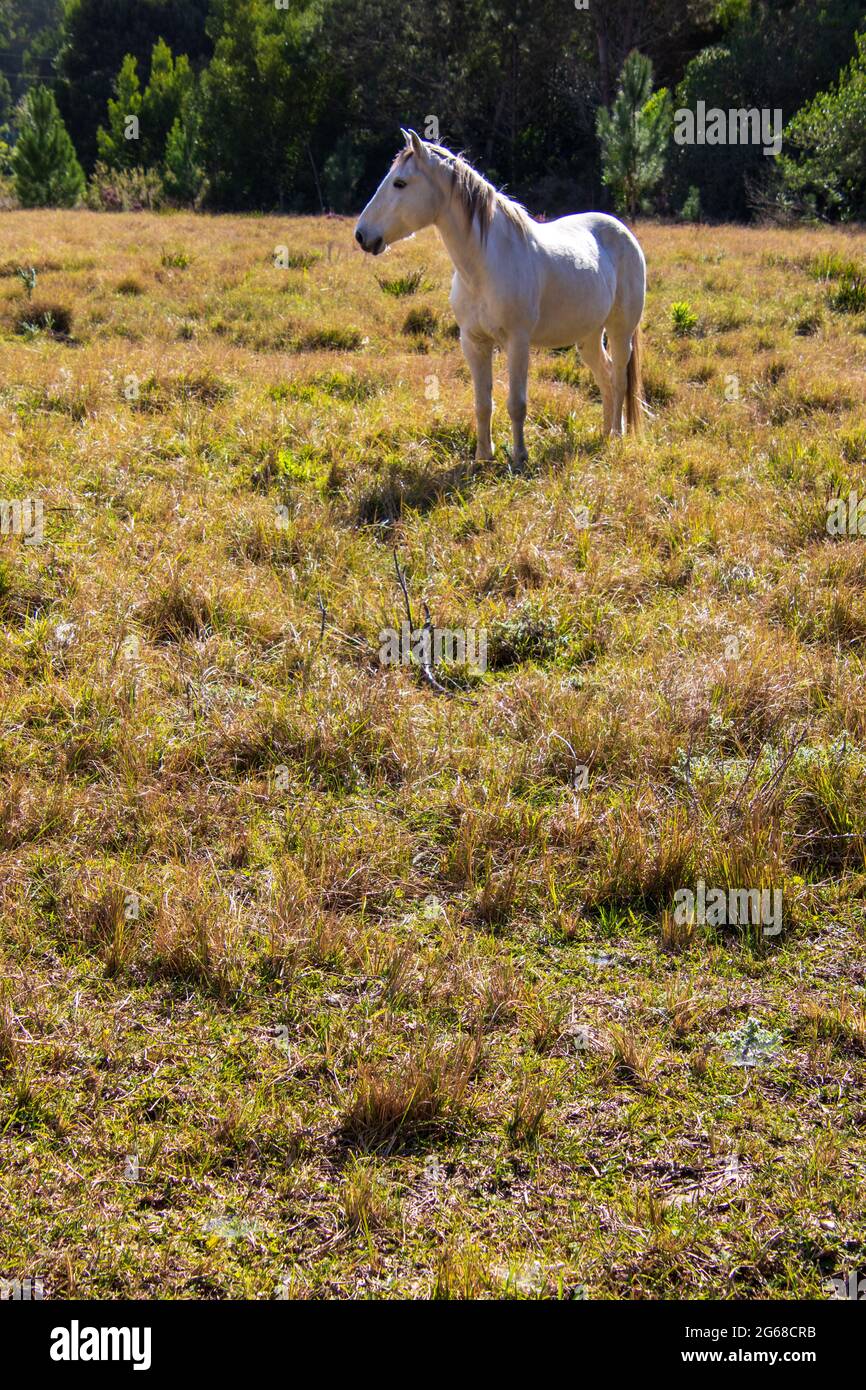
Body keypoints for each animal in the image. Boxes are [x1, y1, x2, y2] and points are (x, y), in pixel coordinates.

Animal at [354, 129, 647, 464]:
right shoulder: (474, 342)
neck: (484, 266)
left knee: (619, 378)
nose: (362, 235)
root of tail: (623, 231)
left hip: (620, 330)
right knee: (606, 376)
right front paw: (483, 456)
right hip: (588, 336)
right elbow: (483, 404)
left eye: (400, 183)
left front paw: (519, 457)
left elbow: (516, 404)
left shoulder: (517, 342)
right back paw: (603, 433)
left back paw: (616, 435)